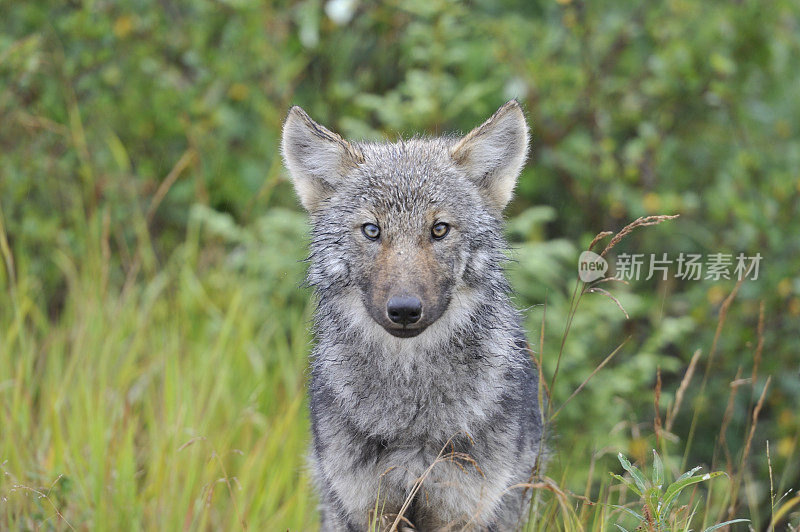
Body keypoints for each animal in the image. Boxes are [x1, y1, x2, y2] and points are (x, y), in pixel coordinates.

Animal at [280, 101, 544, 532]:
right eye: (372, 230)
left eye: (439, 229)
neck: (411, 410)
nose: (404, 309)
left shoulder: (460, 511)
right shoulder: (369, 510)